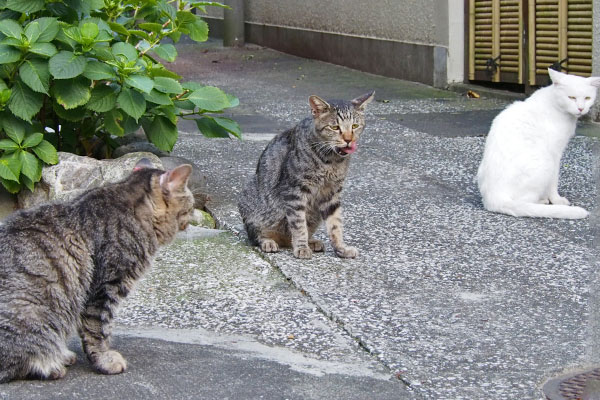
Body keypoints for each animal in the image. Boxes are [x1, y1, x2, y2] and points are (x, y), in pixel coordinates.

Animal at [0, 159, 192, 382]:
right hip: (31, 312)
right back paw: (50, 364)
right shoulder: (105, 287)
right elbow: (98, 329)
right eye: (191, 203)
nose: (193, 215)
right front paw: (105, 360)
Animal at [239, 91, 376, 260]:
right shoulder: (294, 191)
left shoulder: (332, 193)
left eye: (355, 126)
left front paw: (341, 248)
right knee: (256, 234)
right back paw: (269, 242)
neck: (331, 161)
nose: (348, 140)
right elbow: (298, 224)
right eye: (335, 127)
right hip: (252, 202)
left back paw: (312, 242)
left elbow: (335, 224)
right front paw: (302, 248)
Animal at [478, 68, 600, 219]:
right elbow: (554, 181)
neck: (556, 105)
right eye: (571, 97)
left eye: (587, 98)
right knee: (523, 202)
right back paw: (542, 202)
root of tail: (493, 198)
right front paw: (556, 200)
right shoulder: (555, 154)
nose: (581, 108)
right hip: (545, 162)